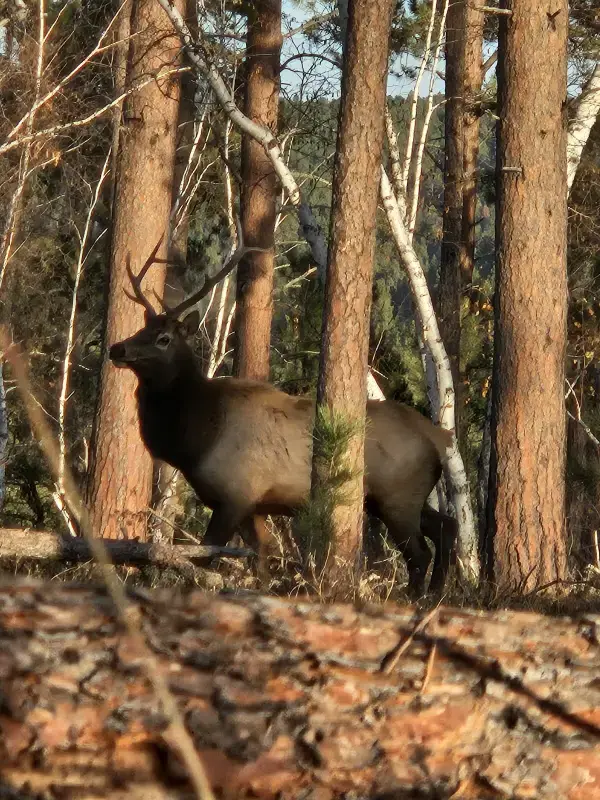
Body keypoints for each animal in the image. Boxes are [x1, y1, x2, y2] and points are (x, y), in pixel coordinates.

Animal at [109, 236, 454, 592]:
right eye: (141, 330)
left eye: (163, 339)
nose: (117, 348)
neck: (196, 440)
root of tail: (438, 436)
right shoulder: (254, 505)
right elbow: (262, 558)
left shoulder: (235, 496)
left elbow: (205, 558)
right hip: (404, 495)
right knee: (448, 527)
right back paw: (435, 593)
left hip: (397, 497)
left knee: (419, 554)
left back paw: (416, 596)